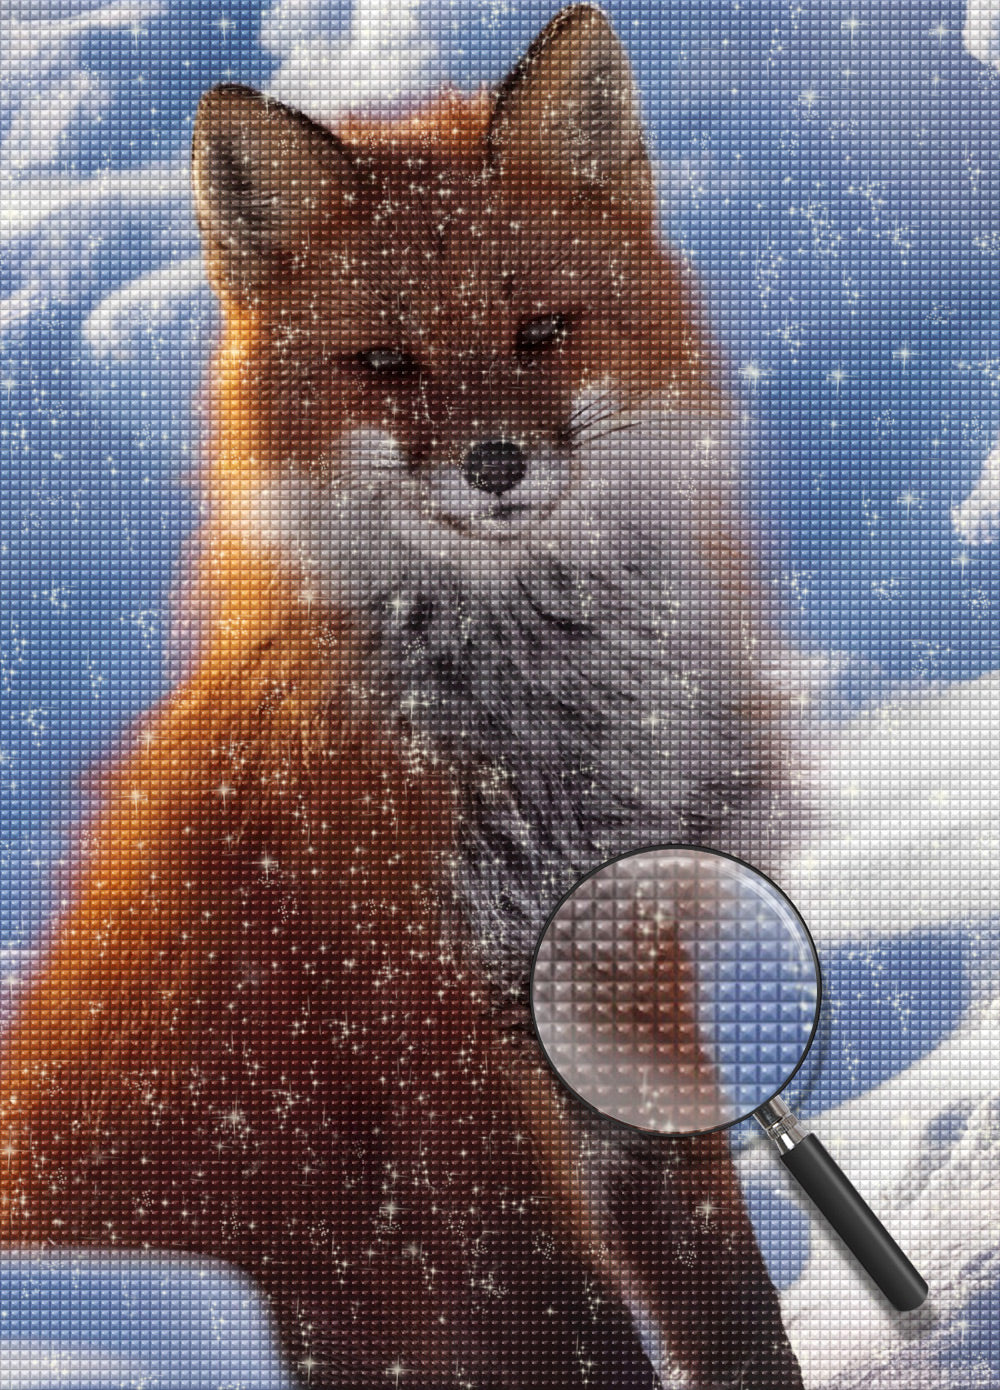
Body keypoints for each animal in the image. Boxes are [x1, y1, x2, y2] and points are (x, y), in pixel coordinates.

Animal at [1, 7, 808, 1388]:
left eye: (542, 330)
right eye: (384, 362)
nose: (495, 464)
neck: (543, 737)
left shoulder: (626, 995)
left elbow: (740, 1323)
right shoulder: (443, 1083)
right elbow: (586, 1337)